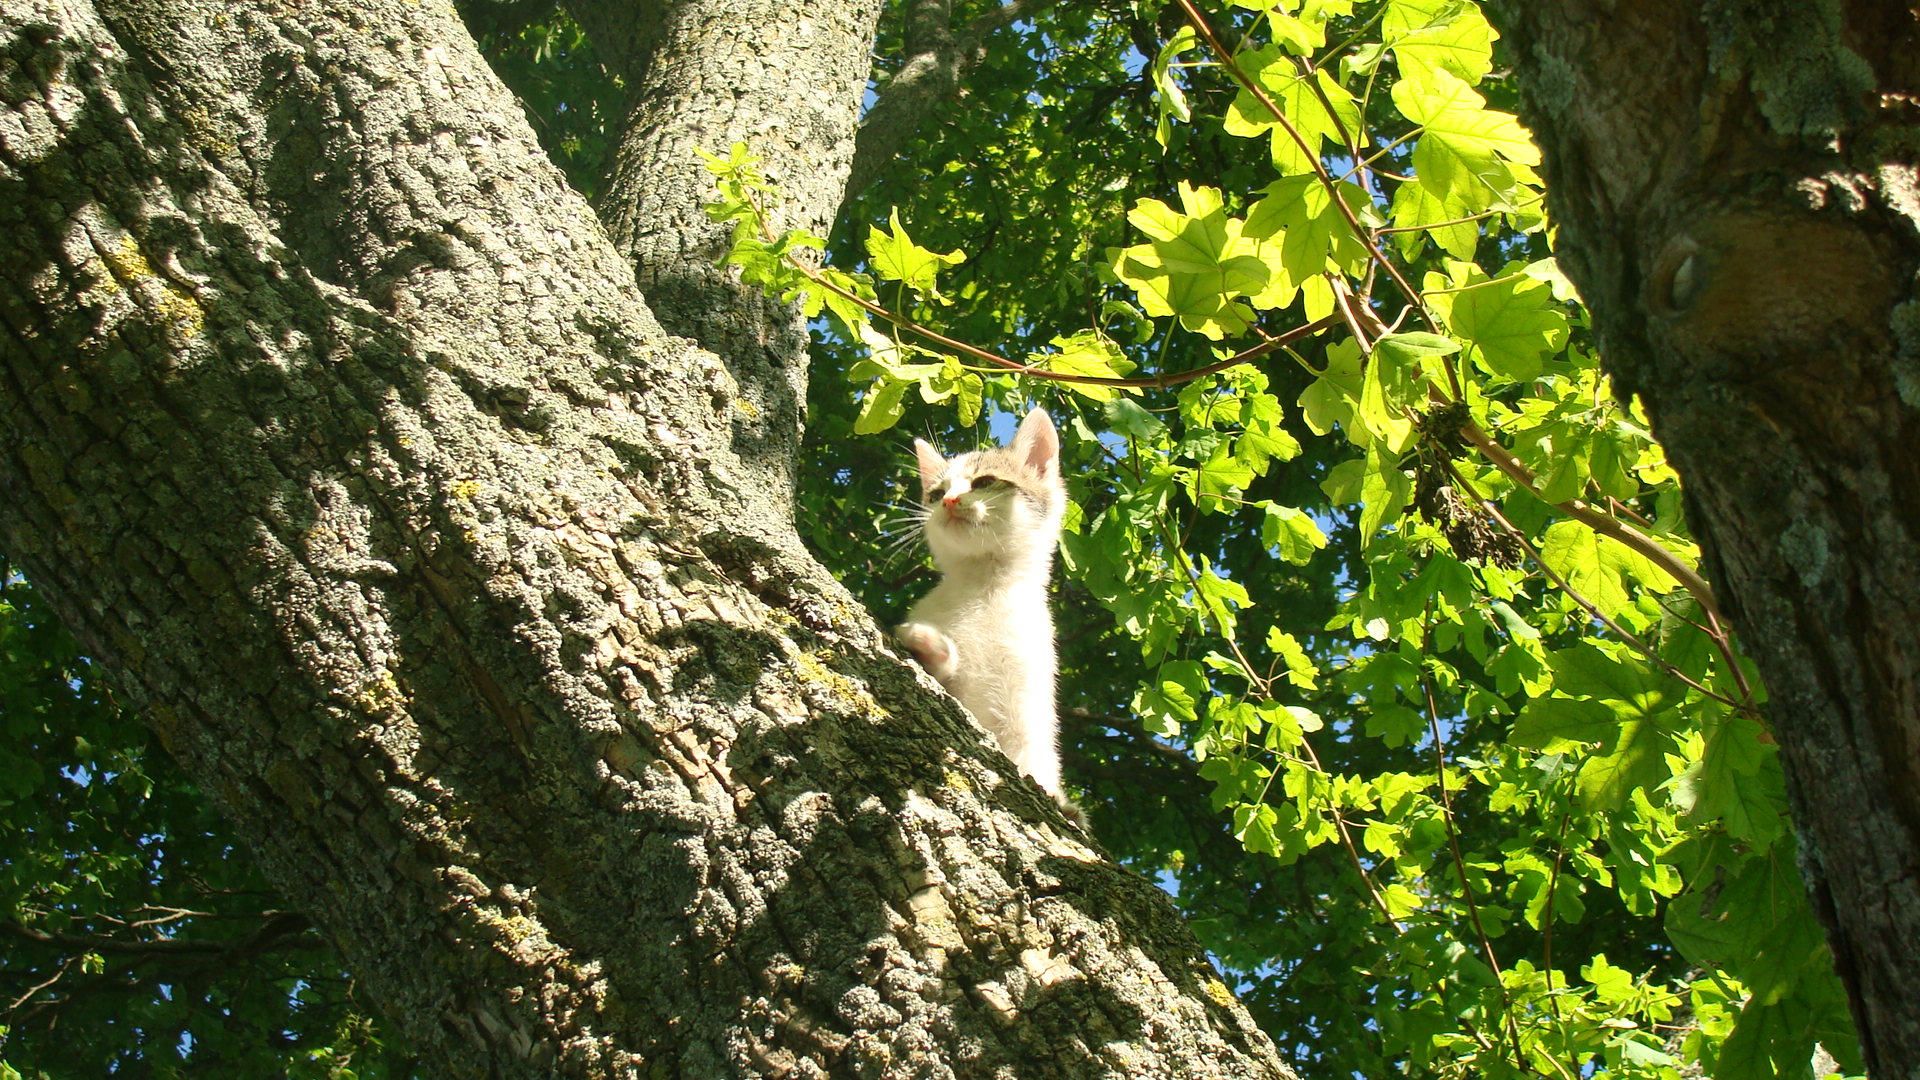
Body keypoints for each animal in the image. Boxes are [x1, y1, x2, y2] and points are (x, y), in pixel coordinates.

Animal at [894, 407, 1075, 803]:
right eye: (936, 493)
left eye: (986, 481)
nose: (949, 501)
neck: (983, 585)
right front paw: (930, 647)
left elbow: (1027, 755)